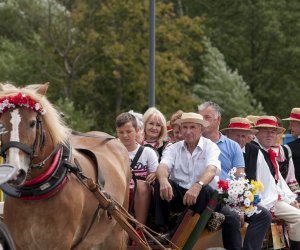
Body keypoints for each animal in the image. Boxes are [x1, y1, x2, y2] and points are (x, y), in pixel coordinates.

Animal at [0, 83, 131, 249]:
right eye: (1, 125)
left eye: (32, 123)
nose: (16, 173)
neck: (35, 192)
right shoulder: (19, 242)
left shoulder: (61, 242)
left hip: (115, 233)